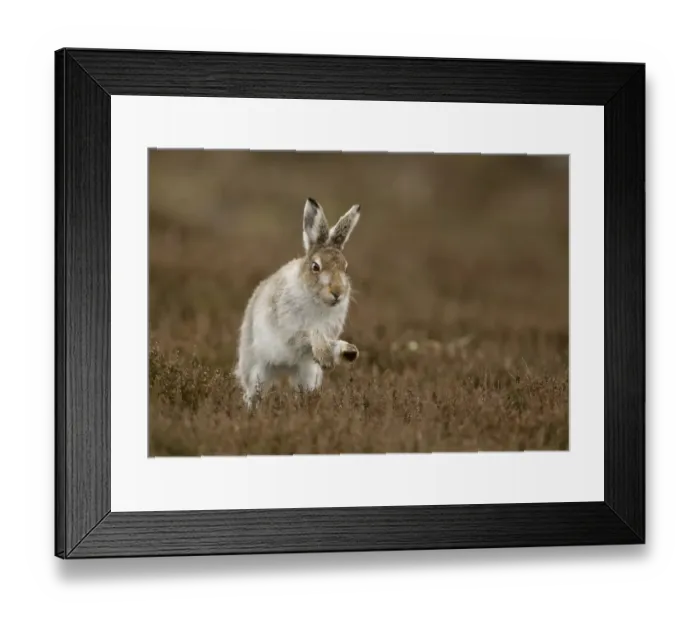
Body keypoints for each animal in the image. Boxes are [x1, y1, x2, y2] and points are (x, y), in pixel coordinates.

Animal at [234, 197, 362, 409]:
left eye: (345, 267)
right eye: (315, 267)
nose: (338, 293)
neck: (316, 300)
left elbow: (326, 340)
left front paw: (347, 351)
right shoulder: (290, 329)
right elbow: (308, 334)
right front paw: (326, 355)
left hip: (306, 374)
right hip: (258, 370)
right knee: (253, 394)